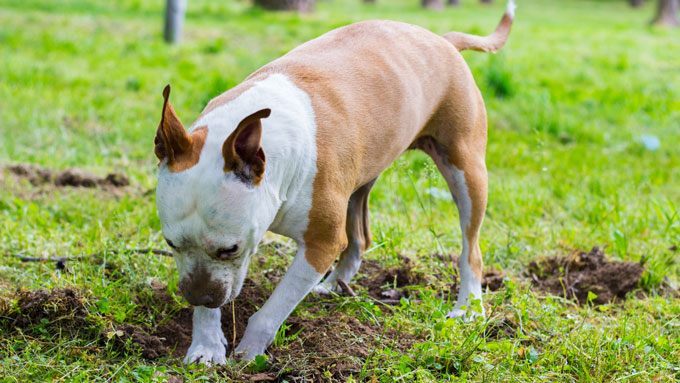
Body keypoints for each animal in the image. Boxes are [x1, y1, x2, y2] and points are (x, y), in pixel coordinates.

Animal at [154, 0, 516, 366]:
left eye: (231, 248)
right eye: (171, 244)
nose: (199, 297)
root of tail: (443, 40)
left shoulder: (320, 245)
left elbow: (273, 309)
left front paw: (250, 350)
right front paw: (206, 343)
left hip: (467, 170)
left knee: (471, 248)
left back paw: (468, 307)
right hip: (360, 180)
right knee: (359, 237)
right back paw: (334, 285)